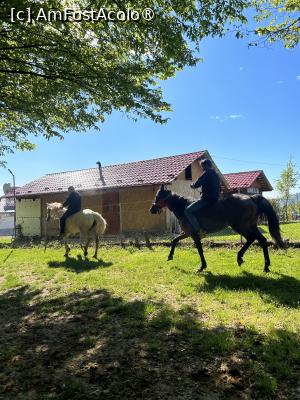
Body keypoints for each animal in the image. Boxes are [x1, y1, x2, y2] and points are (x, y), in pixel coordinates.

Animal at [149, 186, 284, 274]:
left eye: (157, 196)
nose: (151, 209)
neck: (183, 207)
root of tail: (251, 198)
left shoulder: (193, 234)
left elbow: (200, 250)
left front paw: (202, 267)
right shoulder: (187, 233)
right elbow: (175, 240)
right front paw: (170, 256)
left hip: (242, 226)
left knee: (254, 239)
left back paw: (249, 260)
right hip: (249, 226)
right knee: (260, 240)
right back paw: (262, 265)